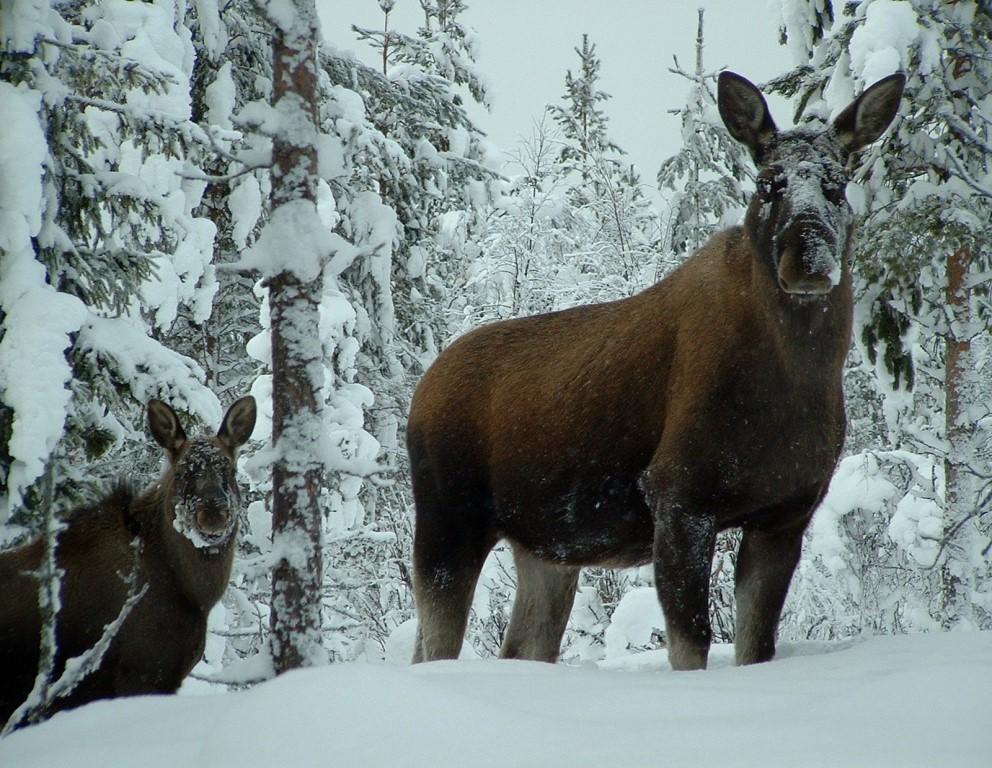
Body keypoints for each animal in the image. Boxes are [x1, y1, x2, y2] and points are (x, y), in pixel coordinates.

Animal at [406, 73, 904, 672]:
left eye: (837, 184)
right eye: (768, 184)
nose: (807, 259)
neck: (795, 383)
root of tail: (421, 390)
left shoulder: (784, 513)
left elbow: (755, 645)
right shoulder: (679, 494)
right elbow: (691, 642)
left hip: (545, 549)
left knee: (516, 644)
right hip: (448, 521)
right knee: (434, 647)